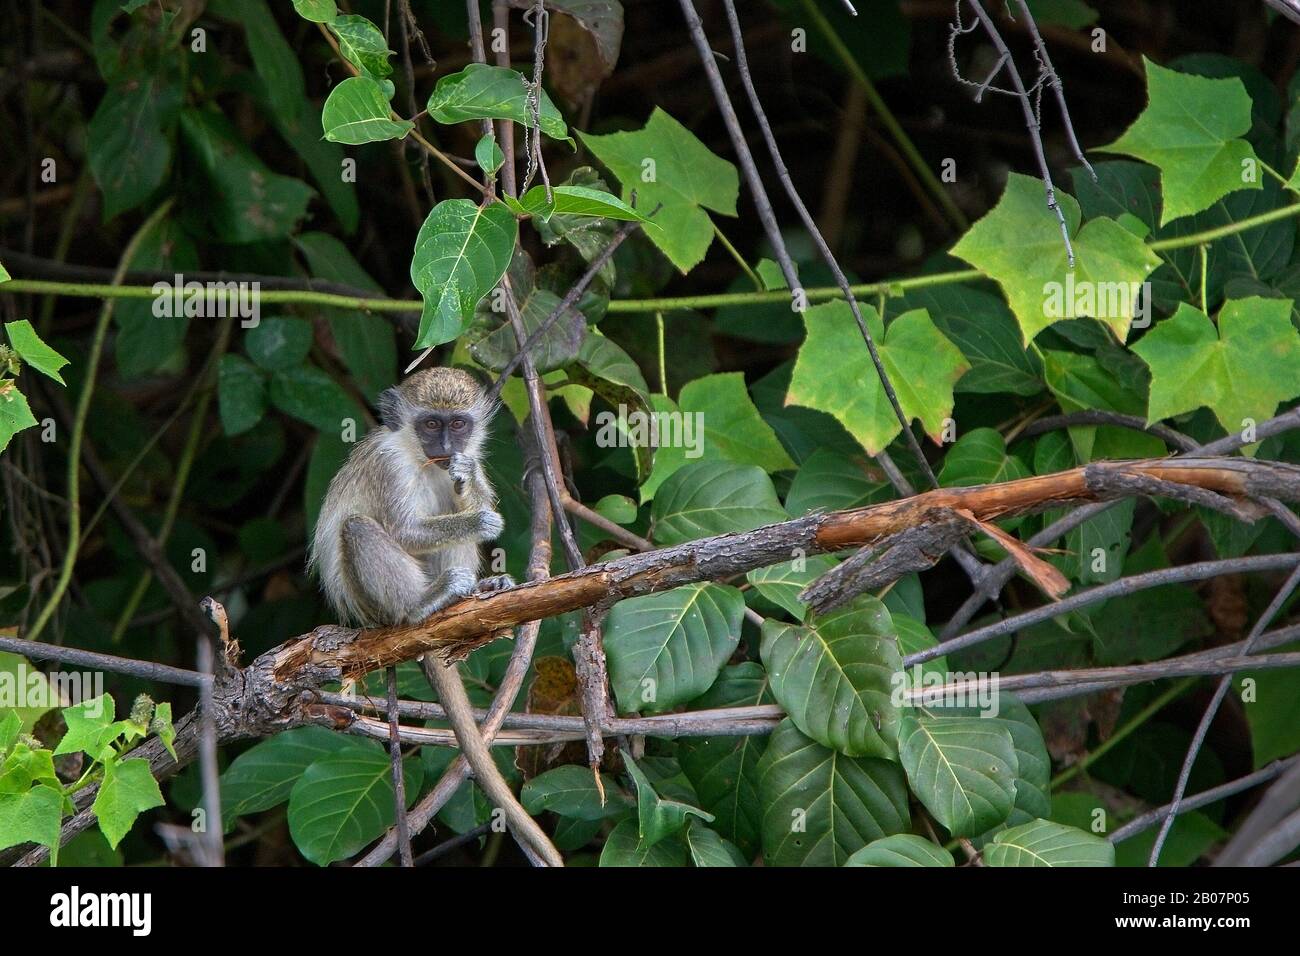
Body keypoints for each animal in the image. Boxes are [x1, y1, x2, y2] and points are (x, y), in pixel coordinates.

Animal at [313, 369, 512, 629]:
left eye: (458, 424)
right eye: (431, 424)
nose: (446, 447)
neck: (417, 456)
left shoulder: (469, 456)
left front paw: (467, 473)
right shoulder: (389, 463)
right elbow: (403, 531)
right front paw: (479, 522)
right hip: (369, 603)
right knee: (357, 527)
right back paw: (419, 604)